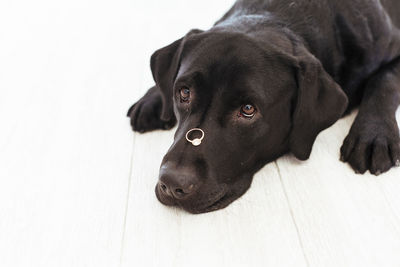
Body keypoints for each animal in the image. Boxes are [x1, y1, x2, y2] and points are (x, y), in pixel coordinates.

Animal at [129, 0, 400, 214]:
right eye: (184, 92)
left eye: (248, 109)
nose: (172, 183)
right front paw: (153, 98)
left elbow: (384, 81)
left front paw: (373, 135)